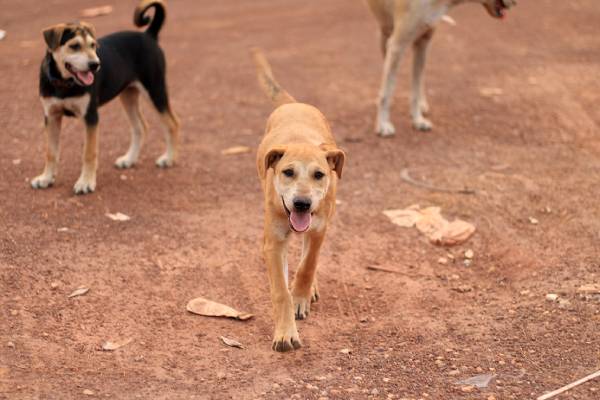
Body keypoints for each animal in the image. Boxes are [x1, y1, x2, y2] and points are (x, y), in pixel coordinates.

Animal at [32, 0, 178, 194]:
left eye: (93, 45)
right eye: (74, 46)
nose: (95, 65)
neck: (64, 84)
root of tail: (148, 35)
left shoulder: (91, 117)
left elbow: (89, 153)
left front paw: (86, 182)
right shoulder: (51, 116)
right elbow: (51, 152)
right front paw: (46, 178)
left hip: (155, 90)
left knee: (172, 124)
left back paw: (169, 158)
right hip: (128, 95)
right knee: (140, 127)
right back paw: (129, 159)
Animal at [252, 48, 346, 352]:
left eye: (319, 174)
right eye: (288, 172)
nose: (302, 203)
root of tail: (295, 104)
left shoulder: (319, 229)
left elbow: (307, 264)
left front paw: (302, 295)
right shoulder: (273, 242)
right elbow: (280, 291)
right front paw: (285, 332)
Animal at [366, 0, 516, 136]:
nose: (516, 3)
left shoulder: (423, 44)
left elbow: (415, 89)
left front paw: (418, 120)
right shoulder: (397, 46)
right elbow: (387, 92)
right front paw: (383, 125)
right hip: (386, 37)